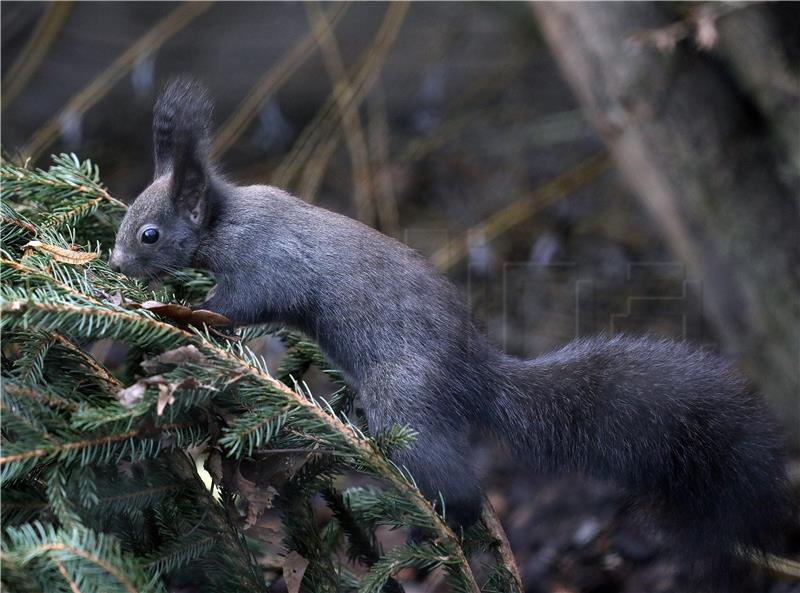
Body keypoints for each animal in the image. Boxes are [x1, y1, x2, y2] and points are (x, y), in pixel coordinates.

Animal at [111, 76, 792, 580]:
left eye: (150, 234)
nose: (115, 263)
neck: (224, 219)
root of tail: (476, 373)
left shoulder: (267, 263)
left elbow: (244, 301)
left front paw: (189, 311)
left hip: (404, 397)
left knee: (455, 480)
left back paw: (442, 523)